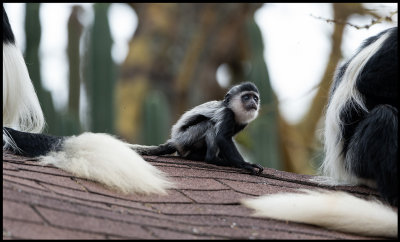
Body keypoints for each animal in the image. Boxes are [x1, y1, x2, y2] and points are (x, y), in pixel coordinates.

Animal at [130, 82, 264, 175]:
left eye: (255, 98)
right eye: (246, 97)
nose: (253, 103)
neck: (234, 111)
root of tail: (175, 141)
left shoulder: (242, 123)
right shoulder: (226, 113)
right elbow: (223, 138)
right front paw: (245, 165)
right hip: (186, 138)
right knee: (209, 124)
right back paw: (212, 159)